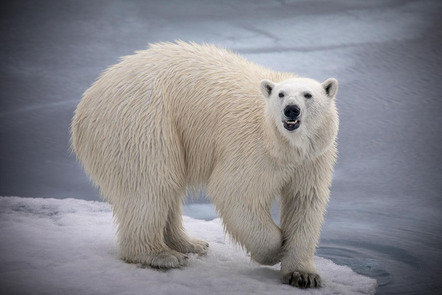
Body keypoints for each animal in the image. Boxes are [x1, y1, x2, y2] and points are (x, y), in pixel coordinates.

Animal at [71, 41, 338, 290]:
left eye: (308, 95)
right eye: (281, 94)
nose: (291, 110)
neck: (286, 147)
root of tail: (87, 99)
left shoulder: (313, 158)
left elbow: (305, 201)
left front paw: (303, 274)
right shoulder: (252, 147)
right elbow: (234, 191)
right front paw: (274, 249)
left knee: (166, 186)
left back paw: (189, 243)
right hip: (142, 120)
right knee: (151, 182)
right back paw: (161, 255)